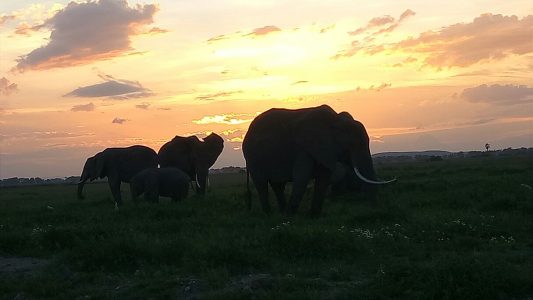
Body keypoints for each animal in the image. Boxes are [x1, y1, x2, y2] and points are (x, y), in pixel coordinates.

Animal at [243, 105, 392, 216]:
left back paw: (281, 212)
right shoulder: (304, 148)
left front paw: (314, 215)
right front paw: (291, 217)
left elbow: (323, 178)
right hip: (253, 157)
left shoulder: (325, 149)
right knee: (262, 184)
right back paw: (270, 214)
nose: (377, 208)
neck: (335, 121)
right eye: (351, 145)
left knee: (278, 185)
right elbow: (302, 177)